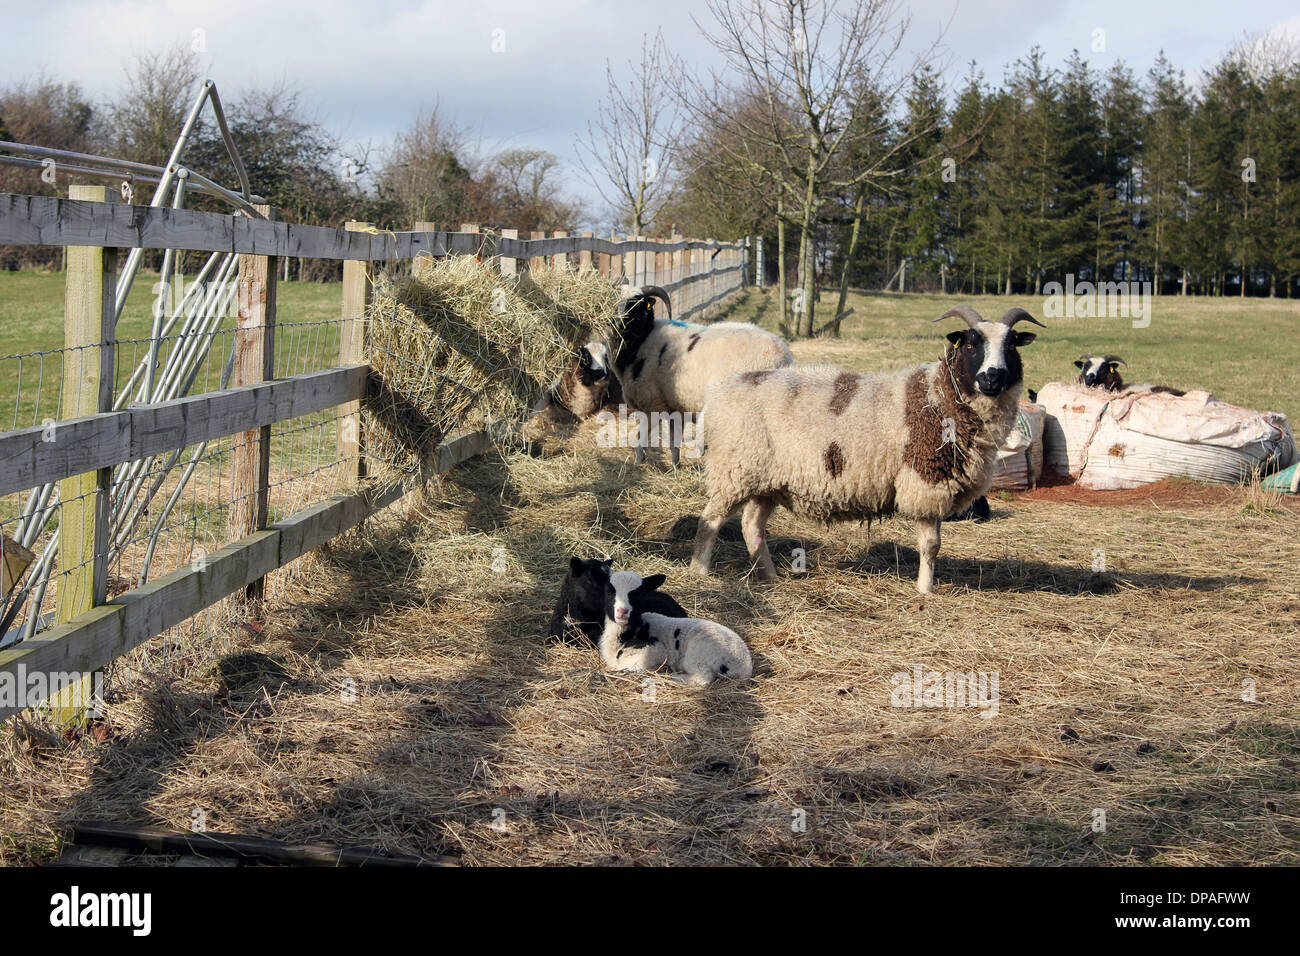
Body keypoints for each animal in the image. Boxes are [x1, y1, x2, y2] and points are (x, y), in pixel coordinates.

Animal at [597, 570, 752, 686]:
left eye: (638, 594)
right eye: (609, 591)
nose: (622, 612)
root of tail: (744, 666)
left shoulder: (656, 650)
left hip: (698, 652)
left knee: (703, 677)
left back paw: (674, 676)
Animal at [610, 285, 794, 465]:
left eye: (637, 305)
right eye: (613, 301)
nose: (618, 322)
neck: (642, 340)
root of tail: (781, 357)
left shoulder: (652, 404)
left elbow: (640, 437)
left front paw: (637, 463)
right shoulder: (675, 407)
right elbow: (674, 443)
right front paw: (675, 467)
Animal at [690, 304, 1044, 594]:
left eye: (1011, 346)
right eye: (971, 344)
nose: (992, 377)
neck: (939, 395)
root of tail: (718, 393)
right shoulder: (926, 482)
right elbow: (931, 545)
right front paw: (925, 590)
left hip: (767, 481)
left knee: (752, 526)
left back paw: (769, 576)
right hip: (734, 471)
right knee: (710, 519)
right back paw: (700, 571)